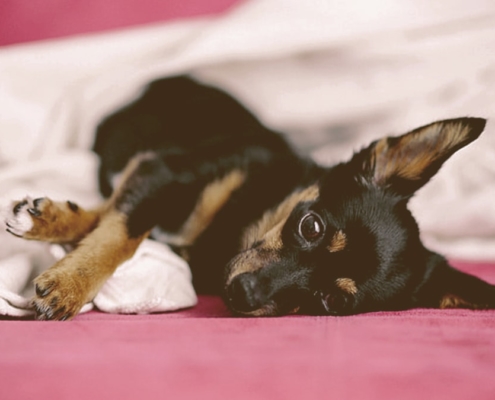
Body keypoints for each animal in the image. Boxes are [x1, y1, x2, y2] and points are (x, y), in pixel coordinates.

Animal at [4, 75, 495, 320]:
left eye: (331, 302)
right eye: (311, 226)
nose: (243, 293)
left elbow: (119, 225)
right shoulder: (162, 169)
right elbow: (119, 233)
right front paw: (68, 278)